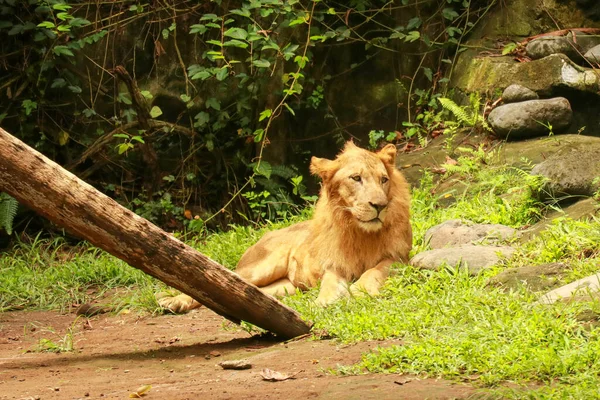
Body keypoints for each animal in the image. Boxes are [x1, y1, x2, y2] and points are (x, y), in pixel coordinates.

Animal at [158, 141, 412, 312]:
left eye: (383, 180)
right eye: (356, 178)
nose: (379, 205)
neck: (360, 232)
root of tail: (266, 234)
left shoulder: (398, 258)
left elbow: (375, 270)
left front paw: (360, 289)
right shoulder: (334, 265)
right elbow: (330, 283)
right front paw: (324, 301)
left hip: (285, 286)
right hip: (259, 268)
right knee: (217, 279)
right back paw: (174, 301)